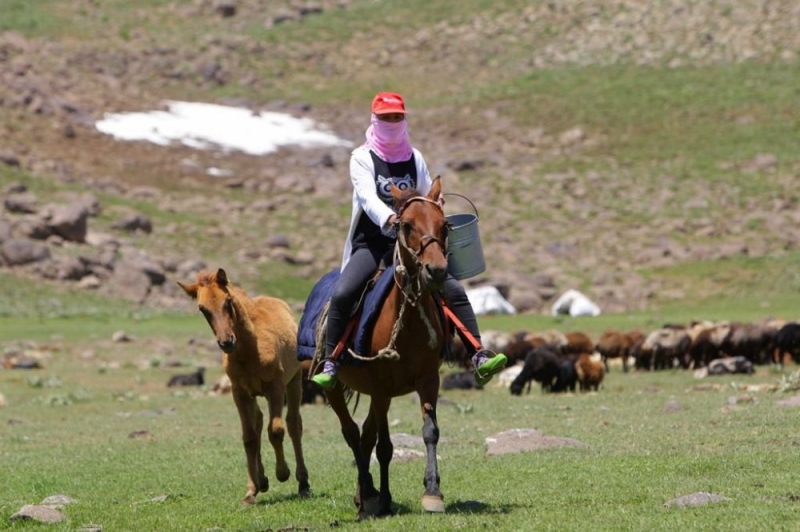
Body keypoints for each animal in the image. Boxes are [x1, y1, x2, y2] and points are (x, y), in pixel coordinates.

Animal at [179, 268, 310, 504]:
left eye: (228, 301)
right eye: (202, 309)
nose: (226, 342)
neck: (249, 350)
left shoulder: (275, 388)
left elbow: (276, 430)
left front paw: (282, 473)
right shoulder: (239, 392)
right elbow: (249, 438)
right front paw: (251, 490)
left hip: (294, 382)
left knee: (294, 424)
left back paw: (303, 482)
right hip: (253, 394)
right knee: (258, 422)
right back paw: (262, 480)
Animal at [320, 177, 456, 516]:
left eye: (445, 225)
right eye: (406, 224)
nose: (436, 270)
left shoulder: (427, 380)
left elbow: (430, 432)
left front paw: (433, 492)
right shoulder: (381, 385)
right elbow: (384, 446)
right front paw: (382, 499)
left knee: (365, 435)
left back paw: (364, 494)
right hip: (334, 388)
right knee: (352, 433)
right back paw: (368, 492)